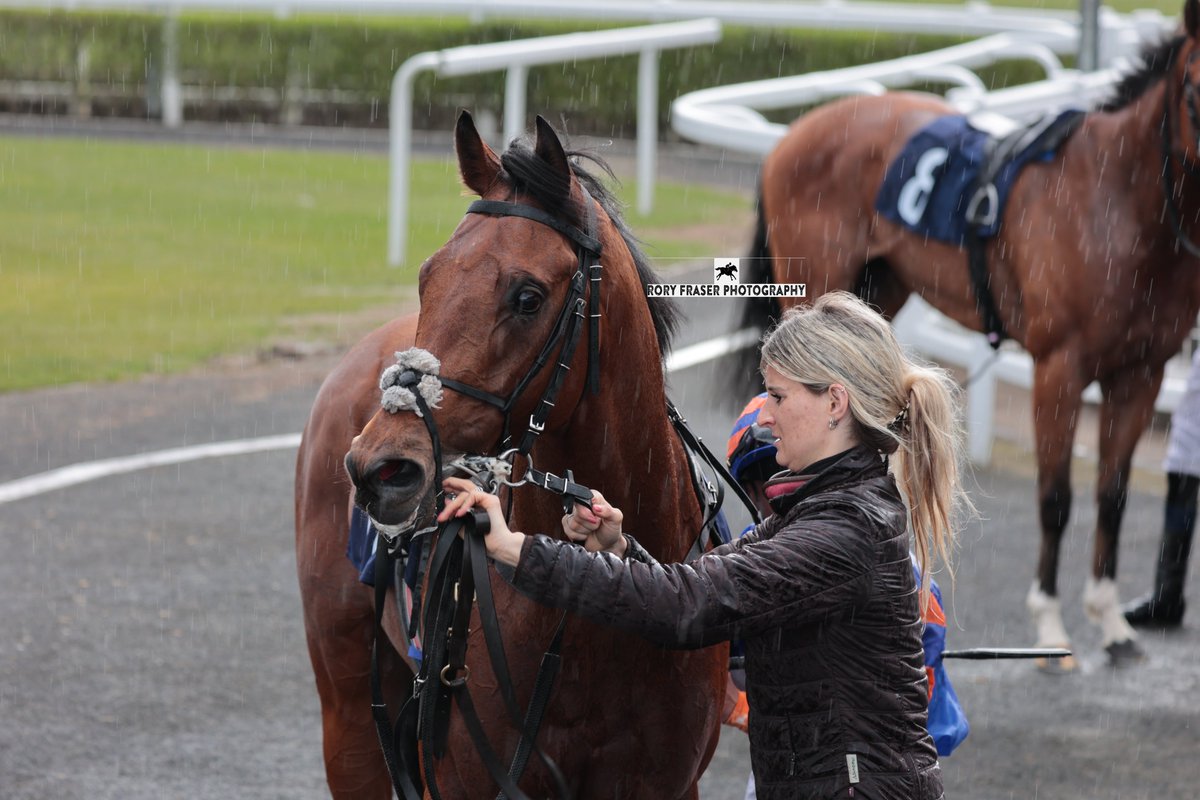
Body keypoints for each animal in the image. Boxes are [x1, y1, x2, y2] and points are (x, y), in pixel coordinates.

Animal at [744, 3, 1200, 666]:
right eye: (1193, 88)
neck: (1117, 199)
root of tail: (795, 133)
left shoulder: (1144, 370)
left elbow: (1112, 494)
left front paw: (1111, 619)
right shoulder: (1059, 367)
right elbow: (1056, 496)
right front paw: (1051, 626)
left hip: (878, 289)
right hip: (815, 283)